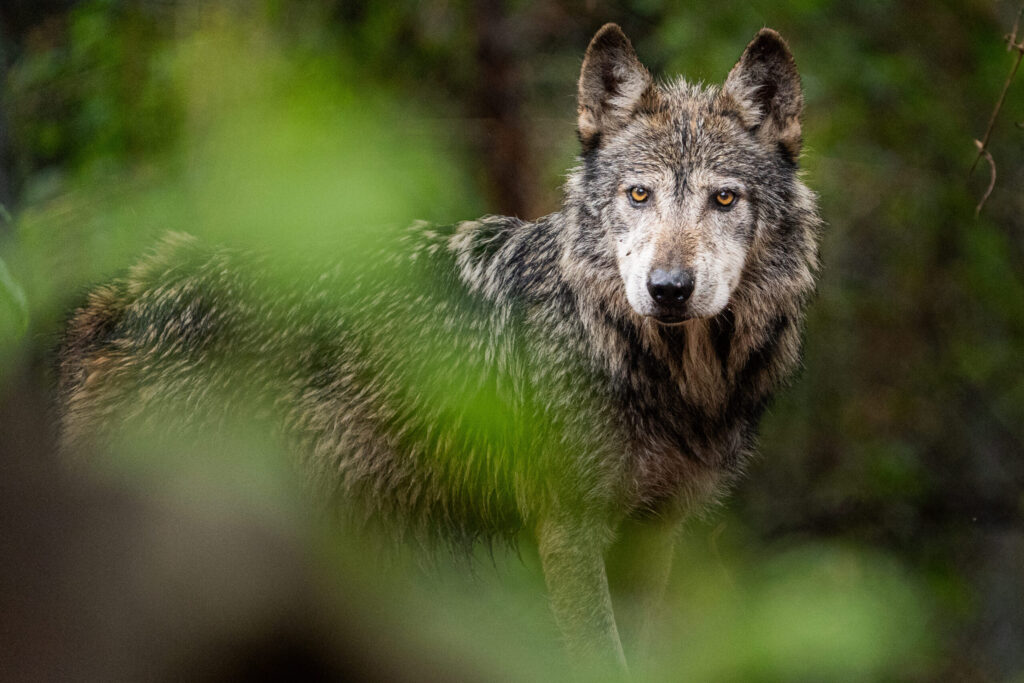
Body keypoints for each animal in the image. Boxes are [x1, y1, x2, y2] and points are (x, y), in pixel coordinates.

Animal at [58, 24, 819, 674]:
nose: (668, 288)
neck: (653, 364)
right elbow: (599, 657)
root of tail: (119, 301)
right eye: (639, 195)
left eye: (724, 200)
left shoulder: (653, 532)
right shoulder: (569, 529)